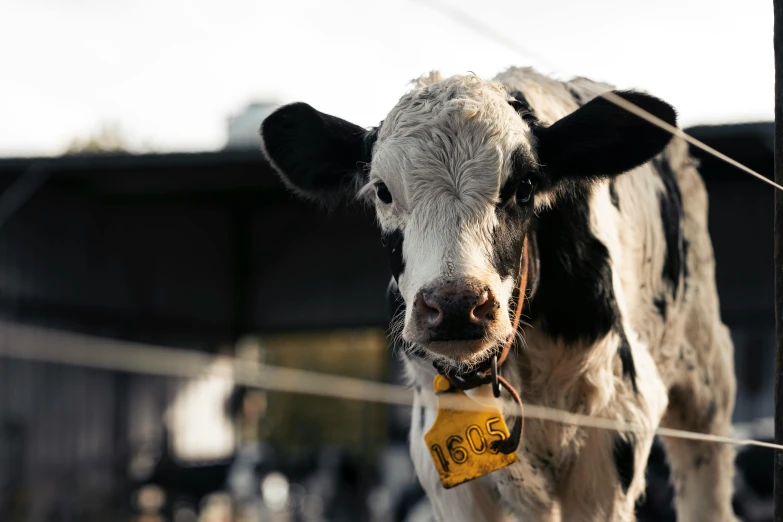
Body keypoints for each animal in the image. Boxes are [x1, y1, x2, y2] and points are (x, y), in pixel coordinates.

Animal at [260, 67, 740, 516]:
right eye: (382, 191)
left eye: (524, 187)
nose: (456, 306)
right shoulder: (445, 471)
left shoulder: (614, 430)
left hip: (706, 386)